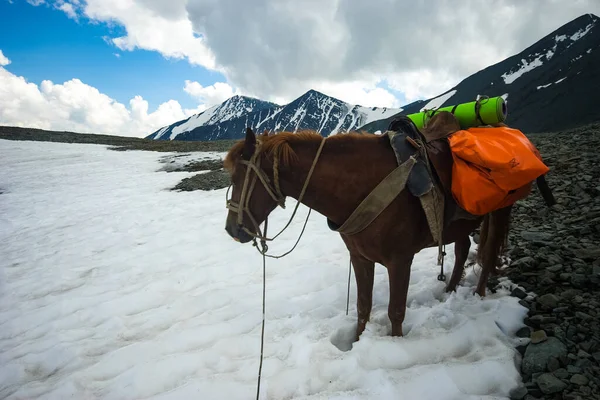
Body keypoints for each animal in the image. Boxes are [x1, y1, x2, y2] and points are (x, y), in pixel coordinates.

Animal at [225, 126, 510, 340]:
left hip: (499, 211)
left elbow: (396, 311)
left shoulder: (400, 261)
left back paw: (479, 294)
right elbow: (363, 306)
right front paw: (357, 340)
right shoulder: (360, 258)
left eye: (239, 177)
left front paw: (396, 344)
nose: (231, 230)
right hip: (462, 224)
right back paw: (449, 291)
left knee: (488, 252)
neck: (363, 188)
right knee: (462, 250)